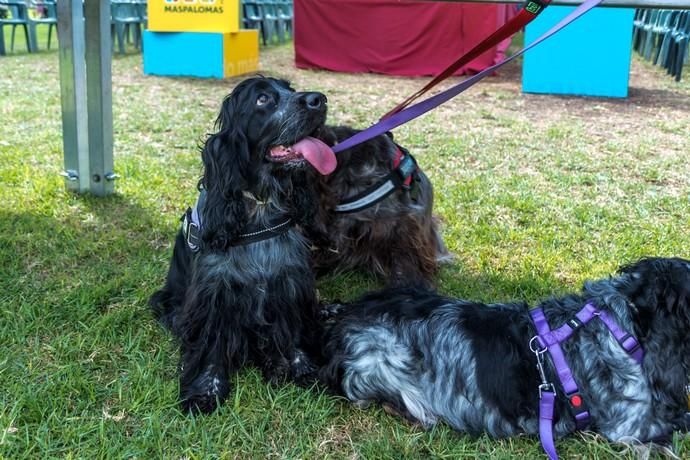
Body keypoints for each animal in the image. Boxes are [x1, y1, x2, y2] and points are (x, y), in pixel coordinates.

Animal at [148, 77, 336, 416]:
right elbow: (211, 347)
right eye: (262, 99)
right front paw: (204, 391)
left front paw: (304, 369)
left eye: (290, 89)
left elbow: (295, 333)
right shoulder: (215, 295)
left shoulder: (290, 283)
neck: (259, 208)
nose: (319, 99)